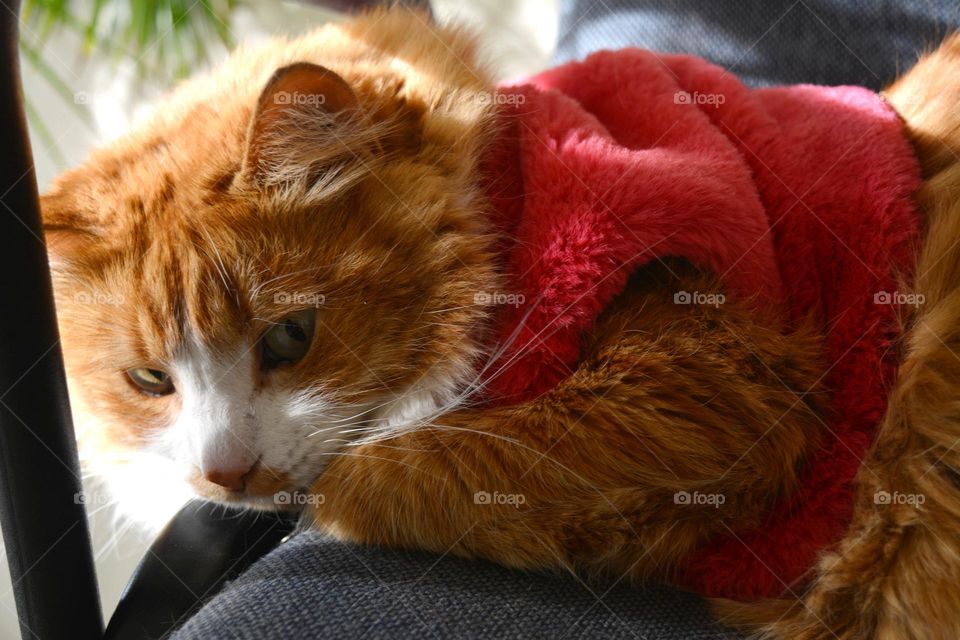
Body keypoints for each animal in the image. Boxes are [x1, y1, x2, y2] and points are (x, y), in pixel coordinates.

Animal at [41, 7, 960, 636]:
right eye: (149, 380)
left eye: (290, 338)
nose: (227, 476)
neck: (503, 201)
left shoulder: (703, 379)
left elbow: (385, 470)